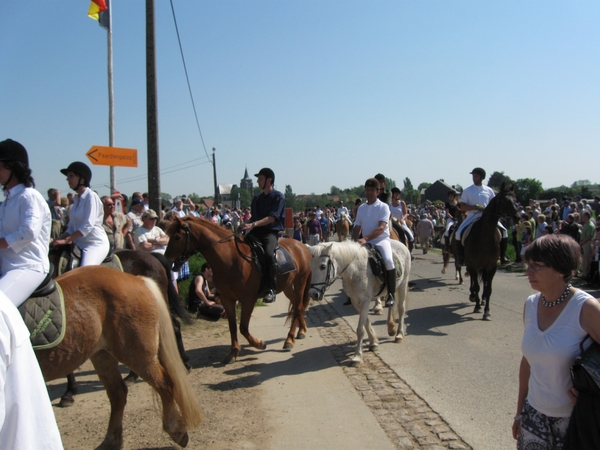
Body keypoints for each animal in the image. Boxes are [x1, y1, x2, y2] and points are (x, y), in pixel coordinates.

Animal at [36, 266, 203, 448]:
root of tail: (138, 279)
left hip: (136, 354)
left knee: (164, 383)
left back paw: (175, 430)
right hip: (103, 355)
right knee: (118, 393)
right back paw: (111, 442)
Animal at [164, 216, 314, 364]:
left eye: (177, 237)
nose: (166, 259)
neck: (231, 259)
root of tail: (302, 246)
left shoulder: (248, 300)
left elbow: (243, 327)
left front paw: (259, 344)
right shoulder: (227, 299)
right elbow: (233, 326)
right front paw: (232, 353)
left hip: (300, 282)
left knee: (298, 308)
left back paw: (289, 340)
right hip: (287, 287)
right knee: (297, 306)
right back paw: (301, 331)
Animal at [448, 183, 516, 320]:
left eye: (515, 198)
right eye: (505, 200)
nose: (516, 216)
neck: (485, 236)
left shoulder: (492, 266)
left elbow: (488, 288)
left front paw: (487, 311)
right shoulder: (473, 265)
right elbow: (476, 286)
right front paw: (477, 306)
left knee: (483, 281)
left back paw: (482, 299)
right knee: (472, 279)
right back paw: (474, 296)